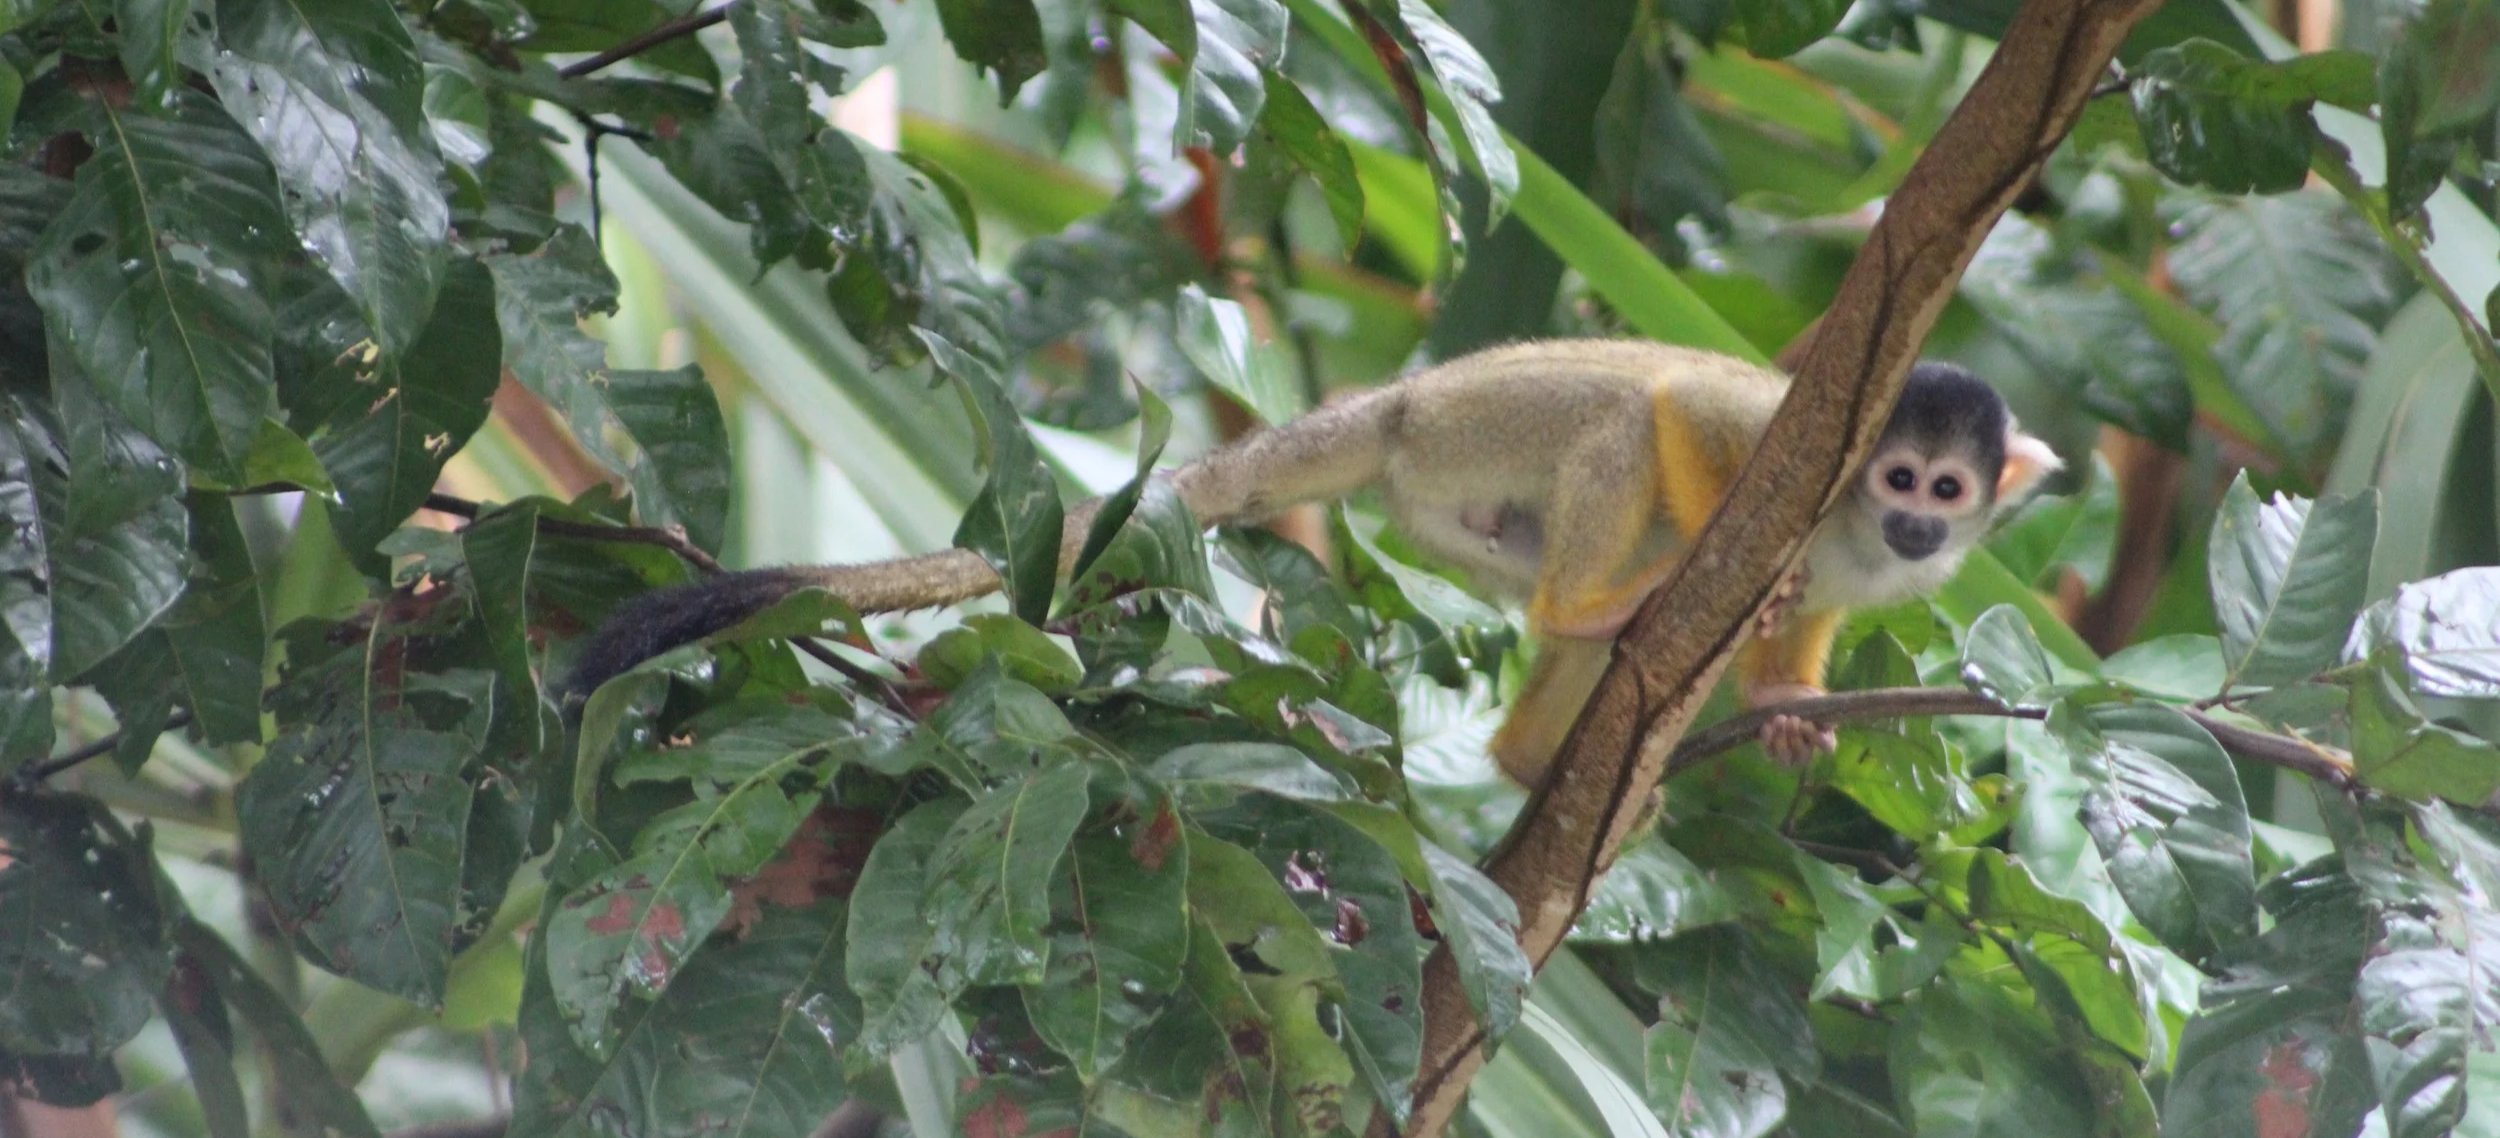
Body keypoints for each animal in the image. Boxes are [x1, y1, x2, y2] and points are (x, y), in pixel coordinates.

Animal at [564, 340, 2059, 786]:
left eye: (1944, 494)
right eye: (1895, 475)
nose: (1918, 519)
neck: (1855, 528)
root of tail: (1393, 401)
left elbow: (1821, 627)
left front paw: (1783, 703)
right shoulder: (1812, 440)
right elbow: (1696, 419)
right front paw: (1736, 559)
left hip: (1447, 518)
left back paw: (1534, 751)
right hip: (1479, 429)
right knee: (1620, 424)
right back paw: (1608, 600)